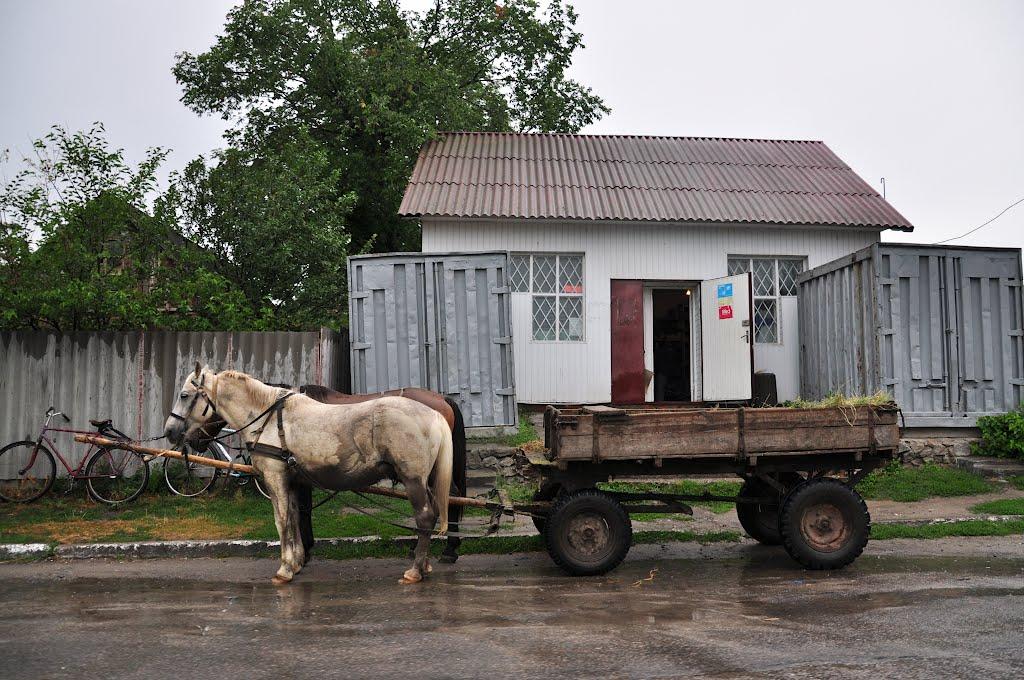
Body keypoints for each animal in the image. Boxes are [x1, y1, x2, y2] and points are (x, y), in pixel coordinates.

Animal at [164, 366, 452, 585]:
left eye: (184, 395)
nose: (169, 431)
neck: (269, 418)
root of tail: (434, 414)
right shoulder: (293, 481)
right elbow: (293, 518)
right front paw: (296, 561)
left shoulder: (275, 477)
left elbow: (281, 521)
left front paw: (284, 569)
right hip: (425, 481)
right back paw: (425, 564)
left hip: (412, 480)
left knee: (425, 516)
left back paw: (416, 570)